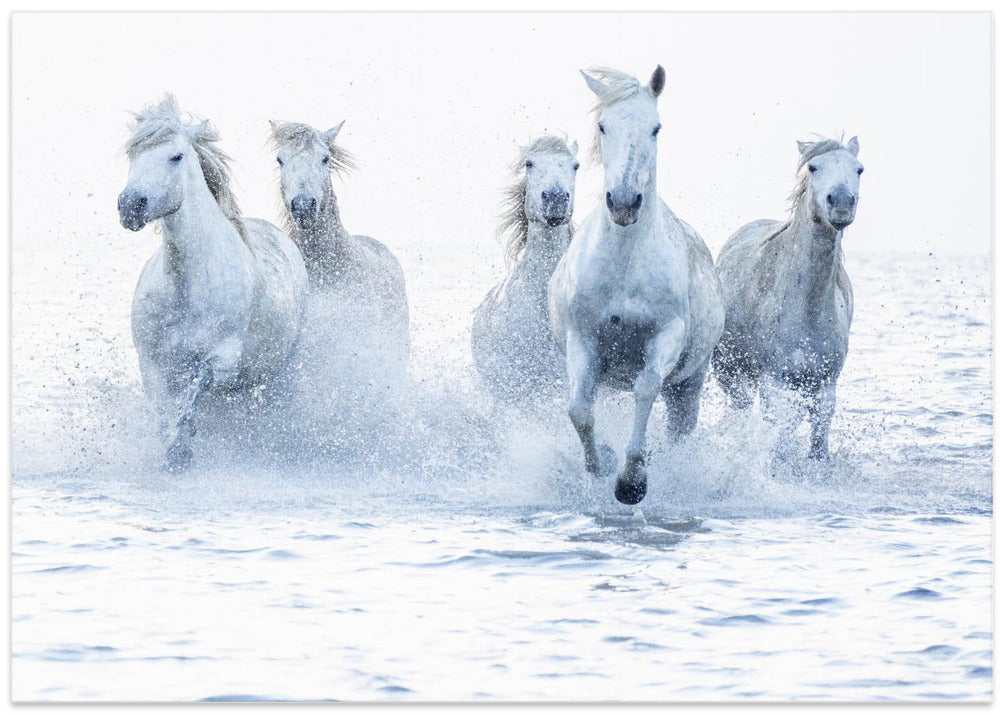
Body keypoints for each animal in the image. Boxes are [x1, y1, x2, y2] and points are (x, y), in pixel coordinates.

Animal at [118, 95, 309, 472]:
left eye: (175, 156)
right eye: (133, 154)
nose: (130, 206)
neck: (186, 286)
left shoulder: (224, 360)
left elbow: (197, 384)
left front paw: (182, 448)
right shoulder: (151, 363)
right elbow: (165, 410)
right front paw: (174, 450)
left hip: (279, 371)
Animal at [549, 66, 725, 505]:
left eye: (656, 128)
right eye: (603, 126)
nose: (625, 202)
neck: (624, 266)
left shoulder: (666, 335)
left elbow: (646, 388)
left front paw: (632, 481)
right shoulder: (583, 340)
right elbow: (579, 409)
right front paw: (601, 464)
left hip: (689, 384)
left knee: (680, 428)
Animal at [711, 136, 862, 460]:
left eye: (859, 169)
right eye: (813, 167)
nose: (841, 203)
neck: (808, 307)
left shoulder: (824, 386)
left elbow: (817, 441)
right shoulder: (773, 383)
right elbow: (777, 433)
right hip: (732, 374)